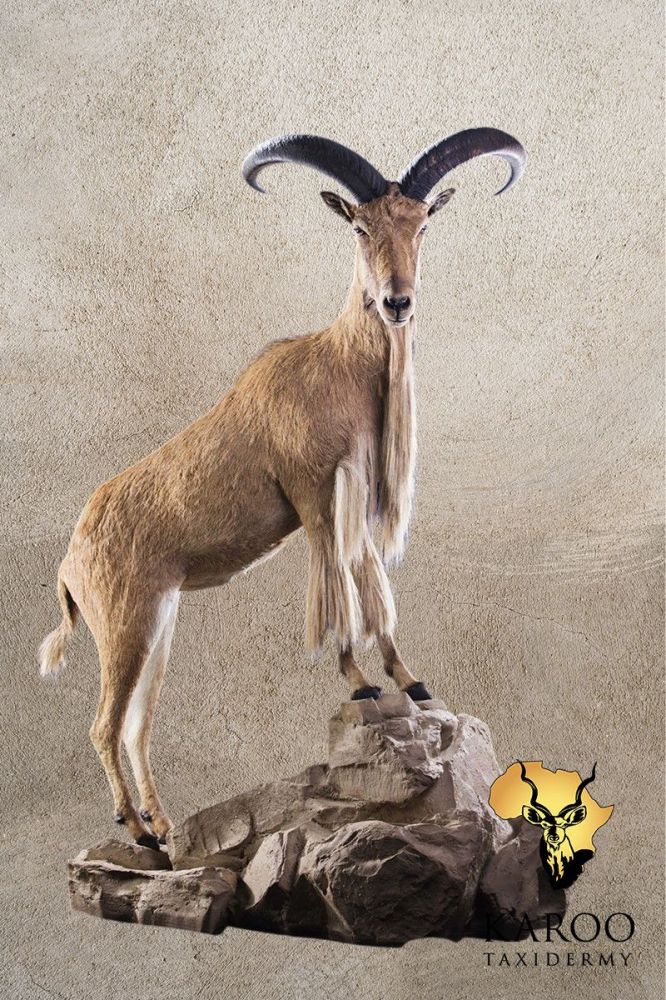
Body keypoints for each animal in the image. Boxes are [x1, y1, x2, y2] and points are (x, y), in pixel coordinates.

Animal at [39, 129, 526, 846]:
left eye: (422, 223)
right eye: (358, 225)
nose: (396, 301)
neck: (339, 366)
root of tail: (69, 562)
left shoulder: (355, 500)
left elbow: (370, 579)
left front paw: (411, 682)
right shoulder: (314, 493)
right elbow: (337, 582)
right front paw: (359, 682)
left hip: (158, 622)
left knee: (134, 727)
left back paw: (166, 825)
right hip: (124, 625)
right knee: (104, 726)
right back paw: (138, 829)